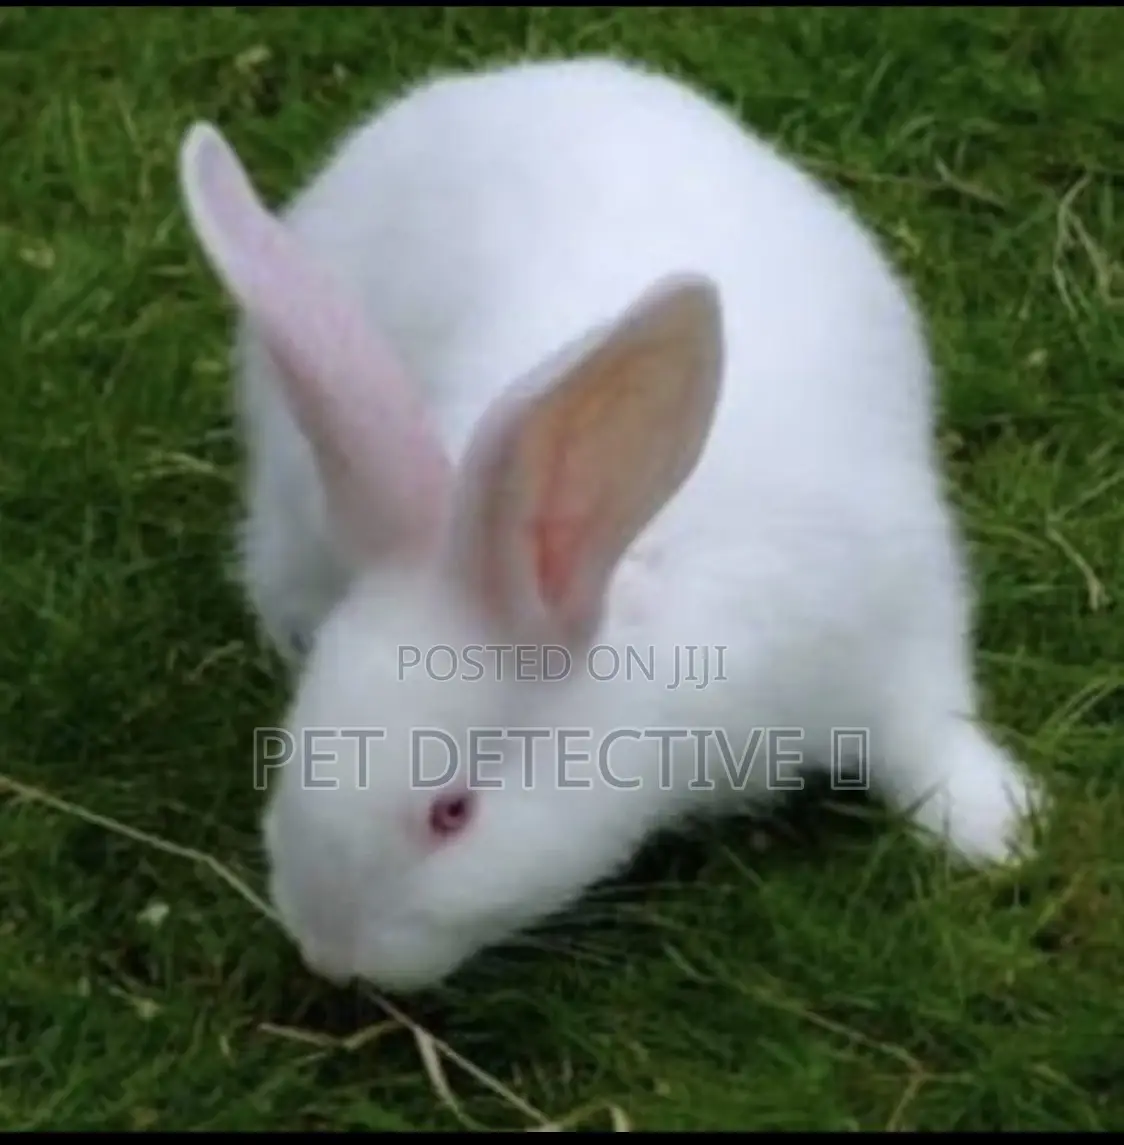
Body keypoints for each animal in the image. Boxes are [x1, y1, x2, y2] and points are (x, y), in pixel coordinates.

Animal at [177, 54, 1045, 994]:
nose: (328, 954)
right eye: (292, 750)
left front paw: (998, 829)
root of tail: (513, 79)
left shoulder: (896, 621)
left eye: (453, 812)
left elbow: (929, 731)